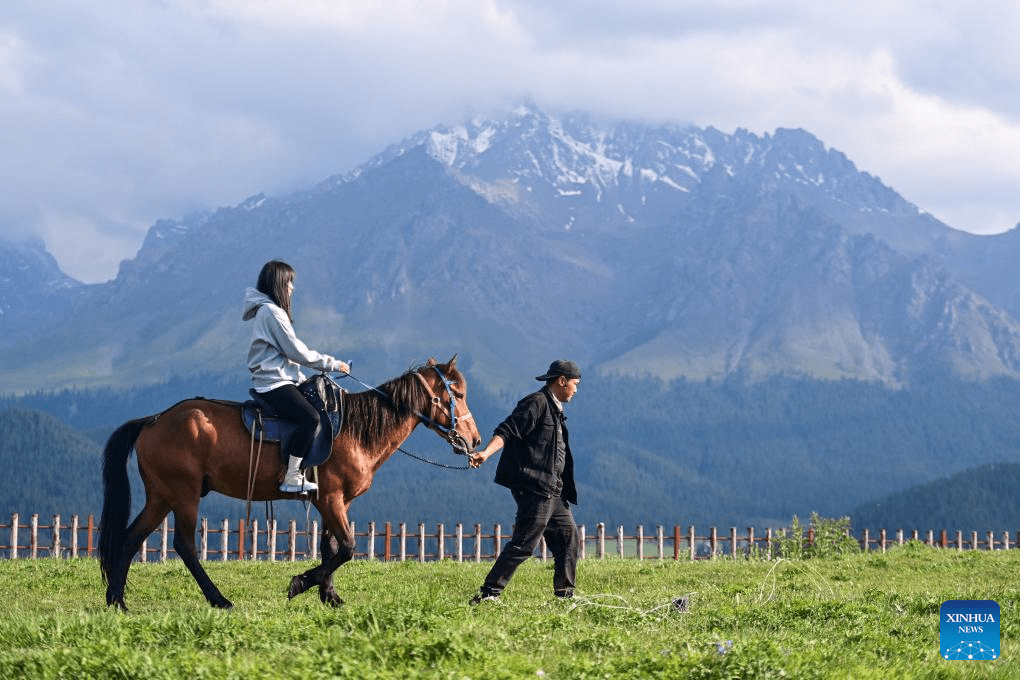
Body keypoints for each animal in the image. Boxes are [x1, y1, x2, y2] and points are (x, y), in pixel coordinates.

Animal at [97, 356, 479, 611]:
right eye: (457, 395)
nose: (474, 441)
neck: (355, 429)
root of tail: (154, 420)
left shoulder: (336, 502)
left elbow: (330, 547)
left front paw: (329, 595)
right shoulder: (330, 499)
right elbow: (347, 547)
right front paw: (301, 584)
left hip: (161, 496)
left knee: (129, 540)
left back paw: (118, 602)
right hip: (184, 494)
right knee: (185, 545)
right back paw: (219, 599)